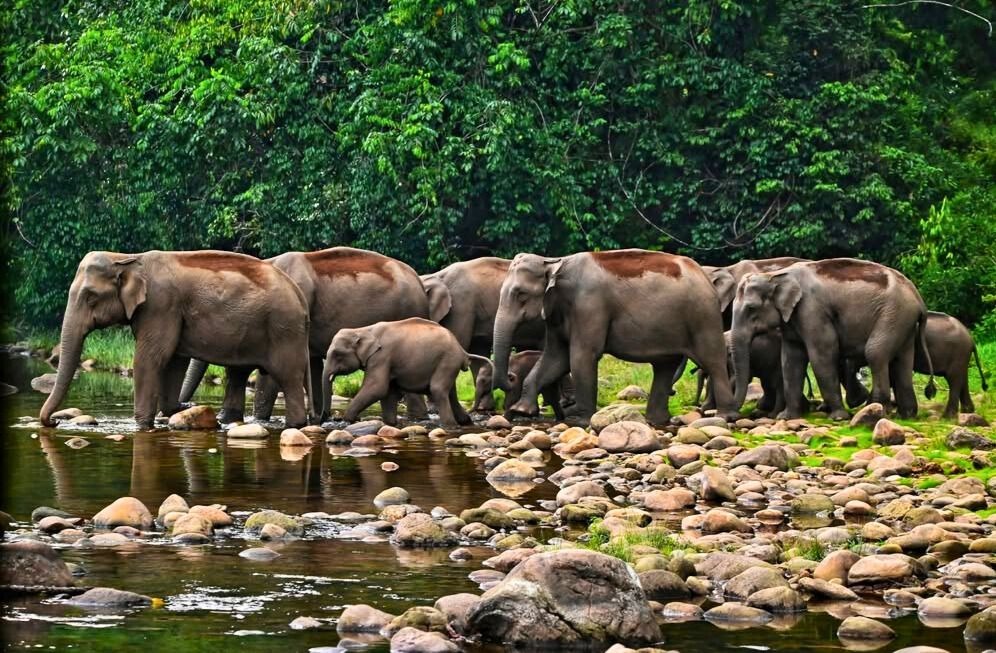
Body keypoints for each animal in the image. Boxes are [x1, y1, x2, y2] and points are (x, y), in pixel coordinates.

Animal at [39, 250, 312, 430]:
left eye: (90, 297)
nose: (53, 422)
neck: (128, 258)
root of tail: (299, 296)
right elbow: (174, 361)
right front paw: (175, 410)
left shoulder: (160, 305)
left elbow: (150, 359)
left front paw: (142, 425)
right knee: (239, 374)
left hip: (284, 329)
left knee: (288, 376)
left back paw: (295, 424)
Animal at [179, 247, 431, 422]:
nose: (185, 407)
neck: (269, 264)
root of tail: (420, 282)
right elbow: (314, 364)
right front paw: (317, 417)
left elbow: (271, 374)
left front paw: (259, 419)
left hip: (408, 312)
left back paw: (418, 419)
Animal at [322, 318, 489, 428]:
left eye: (337, 354)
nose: (329, 418)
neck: (362, 329)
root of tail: (462, 351)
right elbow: (387, 392)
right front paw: (390, 423)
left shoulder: (382, 356)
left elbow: (376, 388)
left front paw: (346, 420)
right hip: (449, 364)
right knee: (451, 393)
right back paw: (465, 422)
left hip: (447, 360)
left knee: (438, 389)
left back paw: (450, 426)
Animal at [492, 249, 739, 426]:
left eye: (521, 294)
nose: (511, 377)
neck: (555, 261)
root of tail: (704, 276)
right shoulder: (556, 313)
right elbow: (555, 358)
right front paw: (522, 410)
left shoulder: (589, 305)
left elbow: (581, 356)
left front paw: (582, 421)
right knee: (664, 366)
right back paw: (656, 421)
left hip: (703, 317)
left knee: (713, 361)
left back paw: (726, 417)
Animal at [731, 258, 933, 421]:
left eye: (751, 308)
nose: (734, 416)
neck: (774, 275)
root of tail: (919, 300)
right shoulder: (792, 319)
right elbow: (791, 360)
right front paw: (786, 417)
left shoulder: (812, 311)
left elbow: (823, 355)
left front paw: (838, 417)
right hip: (903, 321)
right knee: (903, 361)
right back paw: (906, 415)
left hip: (893, 315)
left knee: (875, 353)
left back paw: (876, 409)